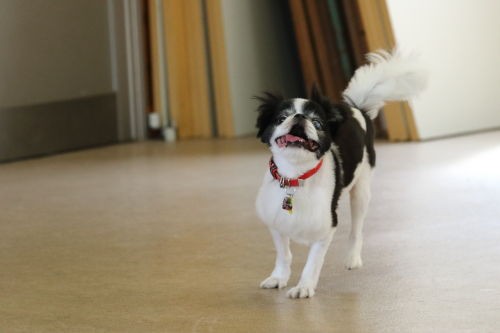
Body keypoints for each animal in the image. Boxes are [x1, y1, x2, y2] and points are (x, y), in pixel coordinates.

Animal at [258, 48, 426, 298]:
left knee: (356, 230)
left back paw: (352, 258)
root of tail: (358, 108)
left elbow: (312, 262)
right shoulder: (276, 221)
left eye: (317, 123)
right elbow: (284, 254)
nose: (299, 117)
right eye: (281, 118)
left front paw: (304, 286)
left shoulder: (326, 228)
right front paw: (279, 277)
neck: (296, 176)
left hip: (361, 192)